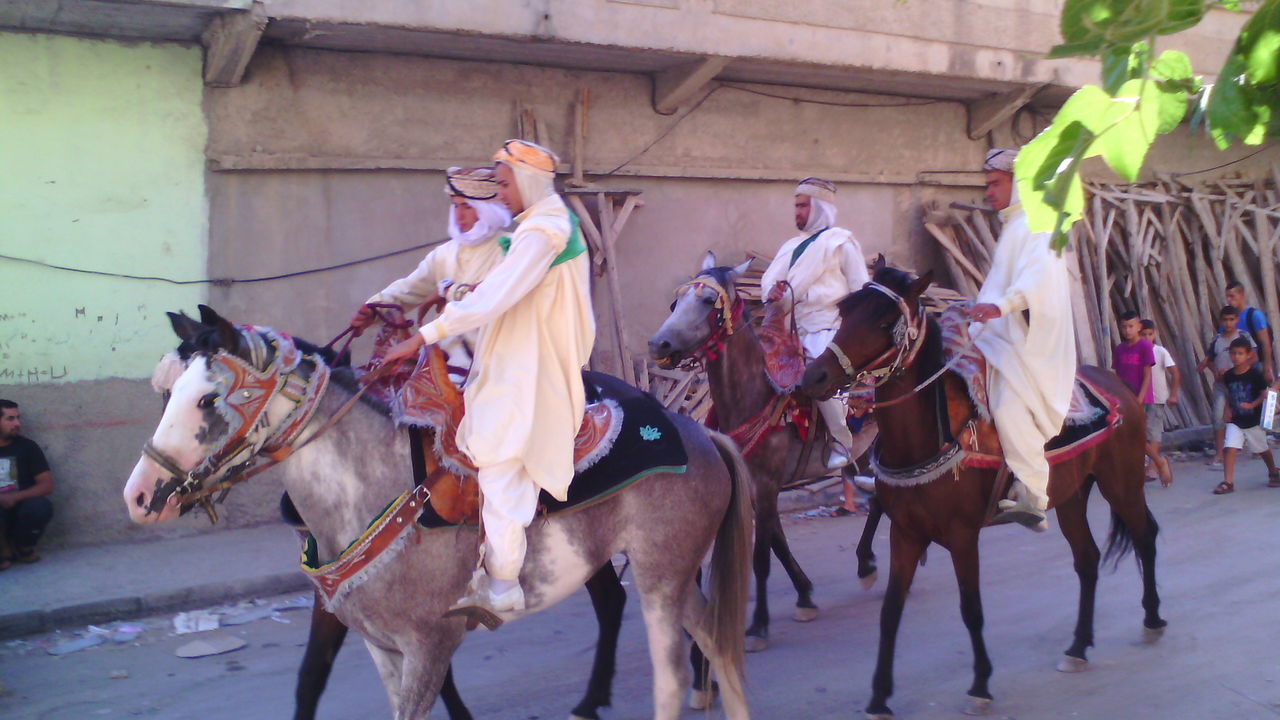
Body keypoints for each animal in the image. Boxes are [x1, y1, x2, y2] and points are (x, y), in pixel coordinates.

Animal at [122, 307, 747, 717]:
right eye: (165, 392)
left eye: (208, 398)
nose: (141, 495)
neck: (375, 488)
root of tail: (698, 432)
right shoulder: (381, 646)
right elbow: (314, 680)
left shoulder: (428, 645)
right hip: (664, 576)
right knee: (716, 644)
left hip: (660, 576)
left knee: (671, 673)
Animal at [803, 263, 1167, 717]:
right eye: (845, 309)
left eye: (887, 323)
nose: (814, 376)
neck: (929, 435)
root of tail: (1116, 386)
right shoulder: (905, 534)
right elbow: (890, 611)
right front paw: (879, 696)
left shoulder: (962, 536)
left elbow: (971, 609)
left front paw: (980, 685)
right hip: (1071, 496)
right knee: (1087, 560)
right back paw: (1078, 646)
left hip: (1121, 481)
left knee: (1144, 535)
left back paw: (1151, 619)